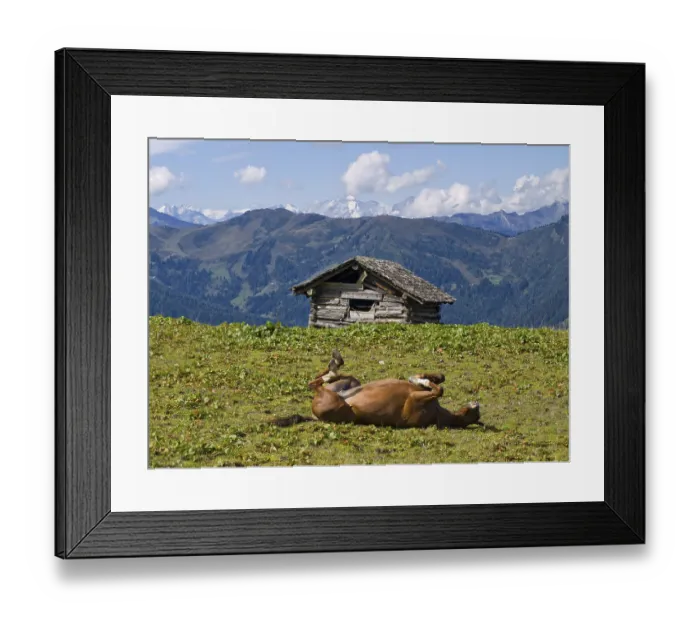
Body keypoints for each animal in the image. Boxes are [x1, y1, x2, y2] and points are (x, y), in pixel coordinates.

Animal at [299, 350, 483, 429]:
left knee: (314, 384)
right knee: (317, 381)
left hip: (333, 400)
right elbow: (438, 380)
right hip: (349, 383)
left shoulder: (413, 400)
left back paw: (334, 364)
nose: (477, 404)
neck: (437, 413)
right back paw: (335, 361)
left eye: (476, 415)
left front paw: (424, 381)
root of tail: (314, 416)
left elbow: (439, 390)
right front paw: (423, 379)